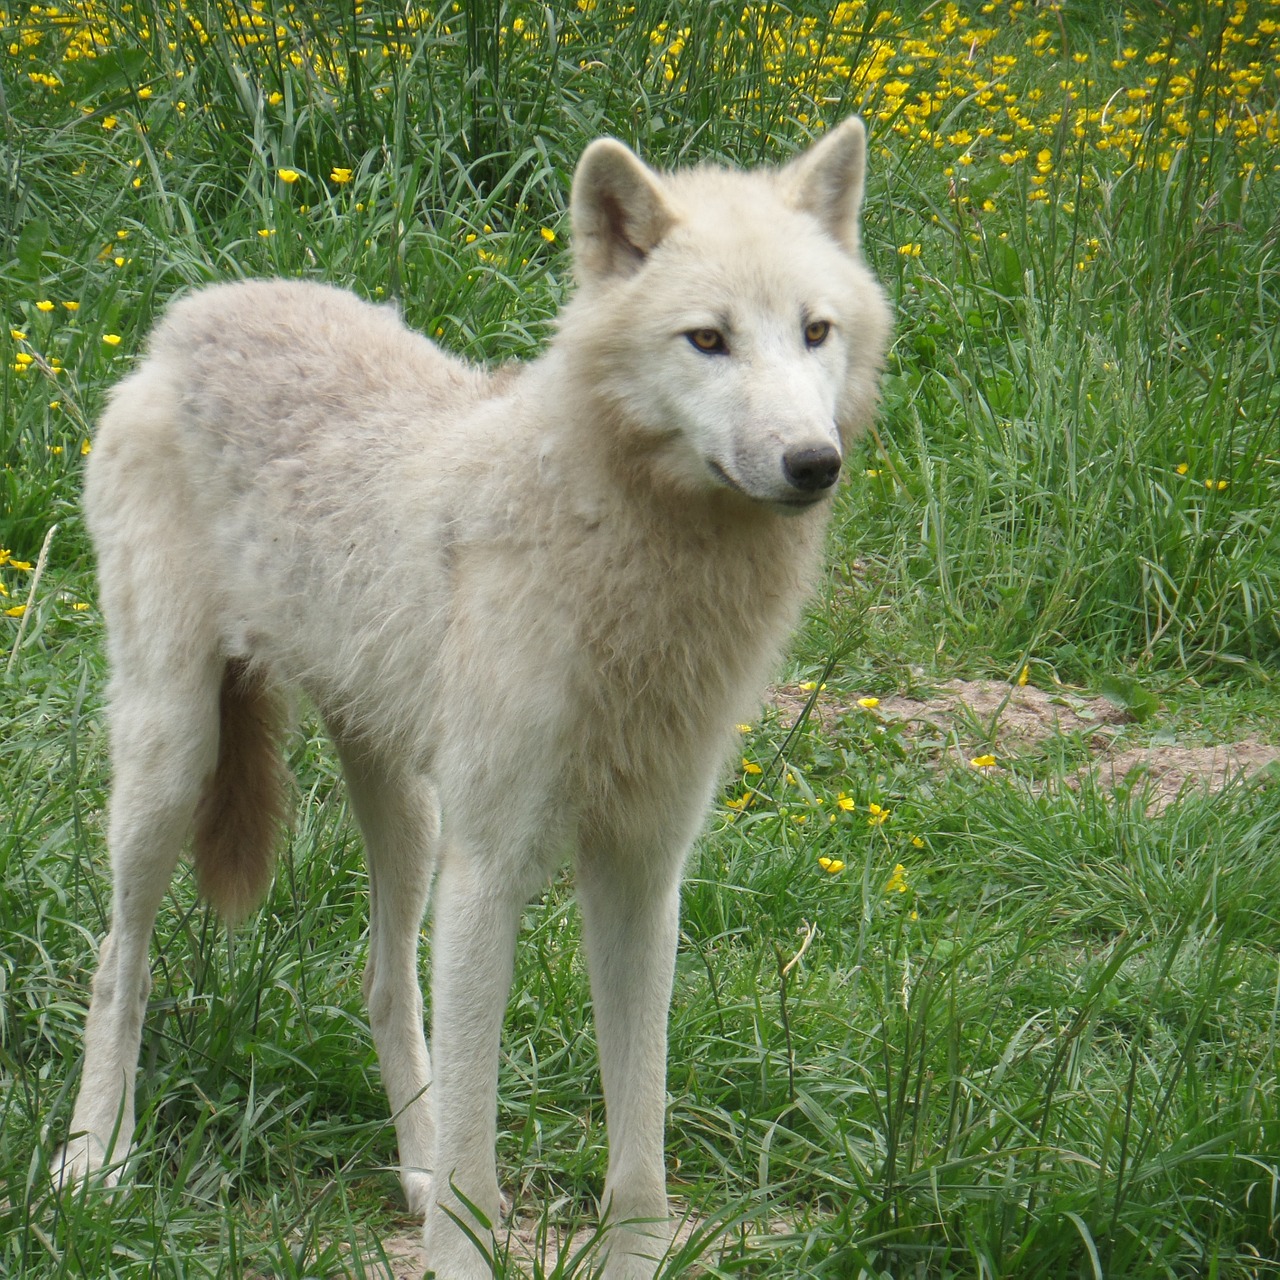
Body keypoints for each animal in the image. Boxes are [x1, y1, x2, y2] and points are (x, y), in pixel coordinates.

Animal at [52, 122, 890, 1280]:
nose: (813, 462)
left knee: (383, 983)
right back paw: (95, 1158)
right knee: (115, 963)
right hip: (176, 761)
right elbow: (477, 1142)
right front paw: (462, 1242)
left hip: (405, 810)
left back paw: (405, 1166)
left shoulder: (642, 868)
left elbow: (638, 1142)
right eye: (707, 340)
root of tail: (195, 309)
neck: (629, 571)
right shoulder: (492, 866)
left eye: (814, 331)